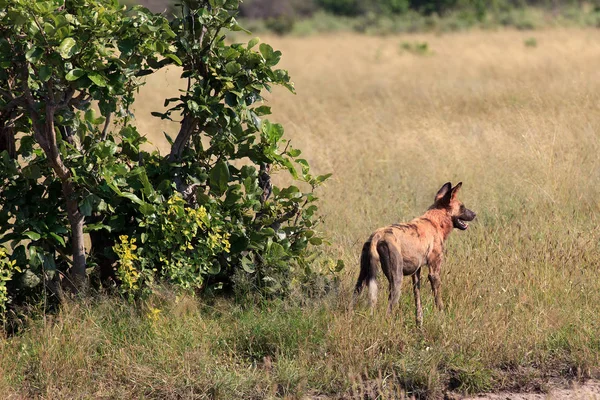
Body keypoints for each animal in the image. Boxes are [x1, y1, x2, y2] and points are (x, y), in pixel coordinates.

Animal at [352, 183, 474, 326]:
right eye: (462, 207)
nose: (474, 214)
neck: (435, 222)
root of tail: (378, 235)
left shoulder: (416, 273)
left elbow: (418, 302)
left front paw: (419, 324)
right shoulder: (434, 272)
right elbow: (438, 301)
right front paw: (443, 319)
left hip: (362, 277)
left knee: (354, 297)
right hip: (396, 280)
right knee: (389, 310)